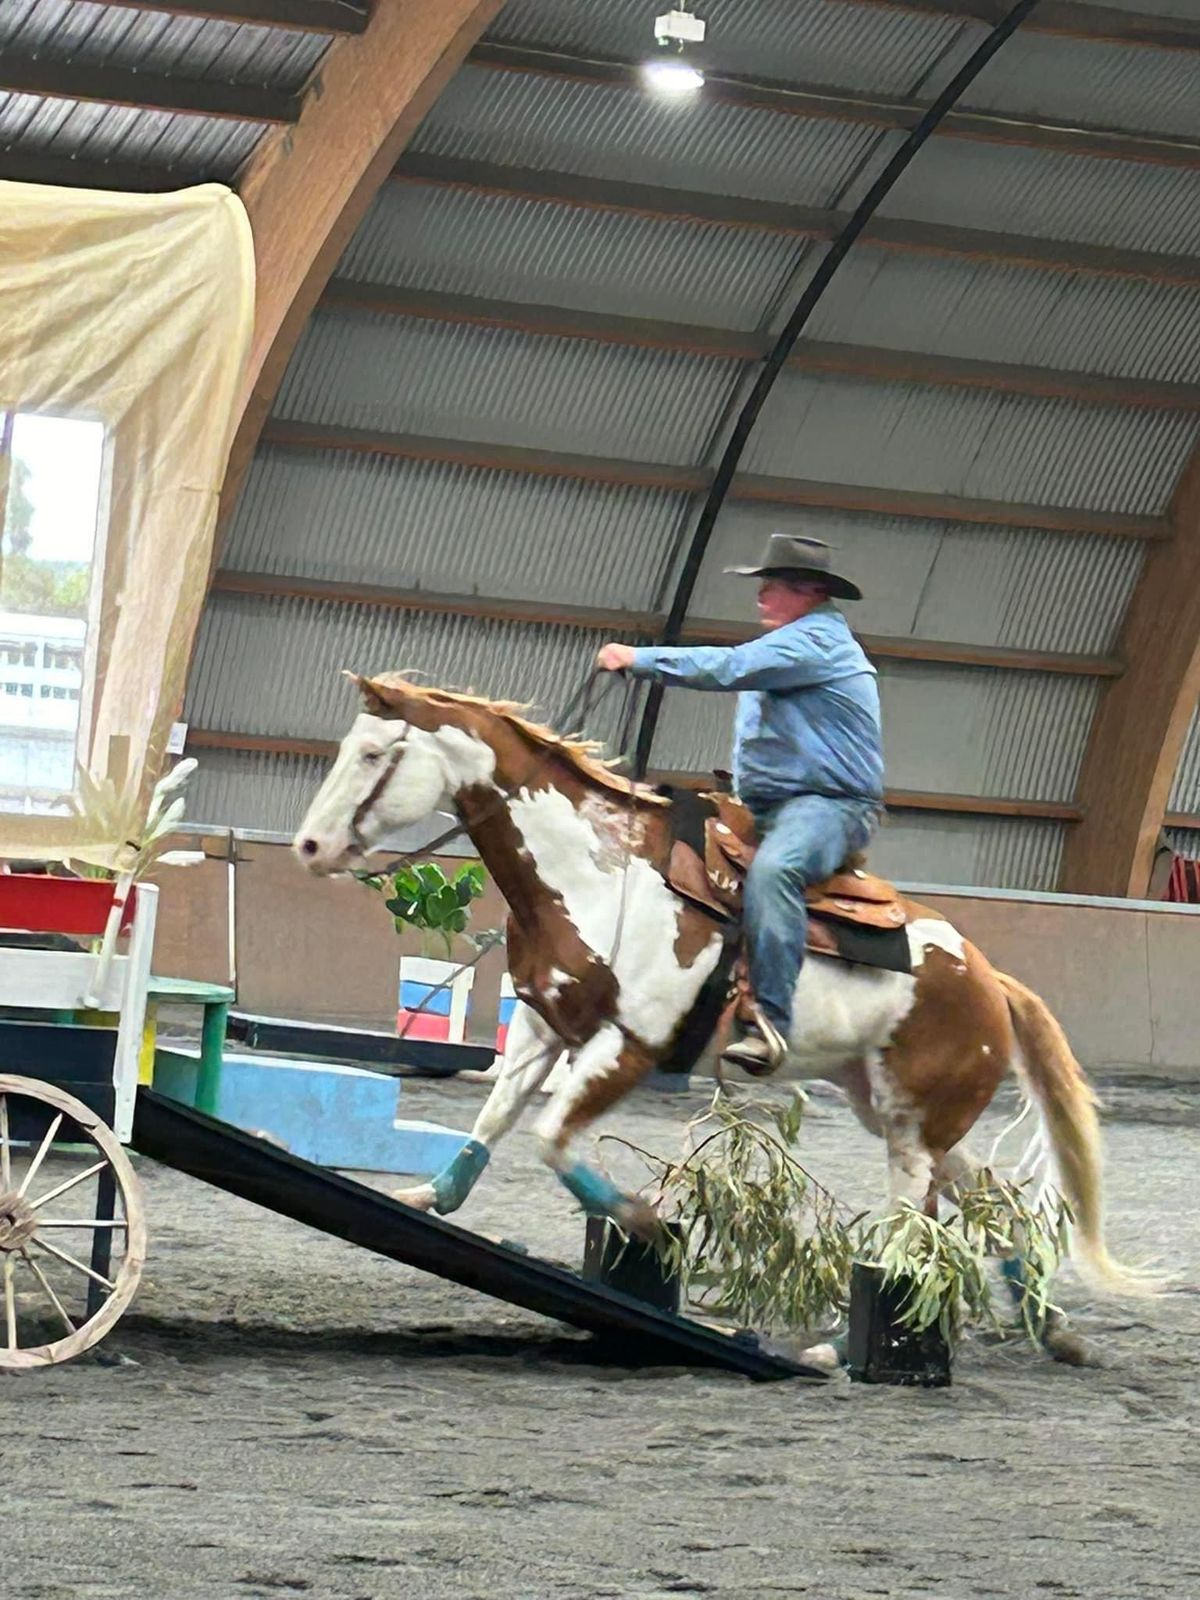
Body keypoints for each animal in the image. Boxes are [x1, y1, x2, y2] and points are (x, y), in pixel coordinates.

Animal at [294, 665, 1145, 1324]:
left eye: (374, 752)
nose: (310, 846)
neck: (598, 874)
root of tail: (989, 979)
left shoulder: (628, 1045)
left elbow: (551, 1139)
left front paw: (642, 1221)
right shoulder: (542, 1027)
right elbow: (493, 1121)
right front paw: (427, 1198)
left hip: (911, 1126)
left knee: (916, 1226)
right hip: (898, 1109)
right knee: (988, 1198)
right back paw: (1045, 1318)